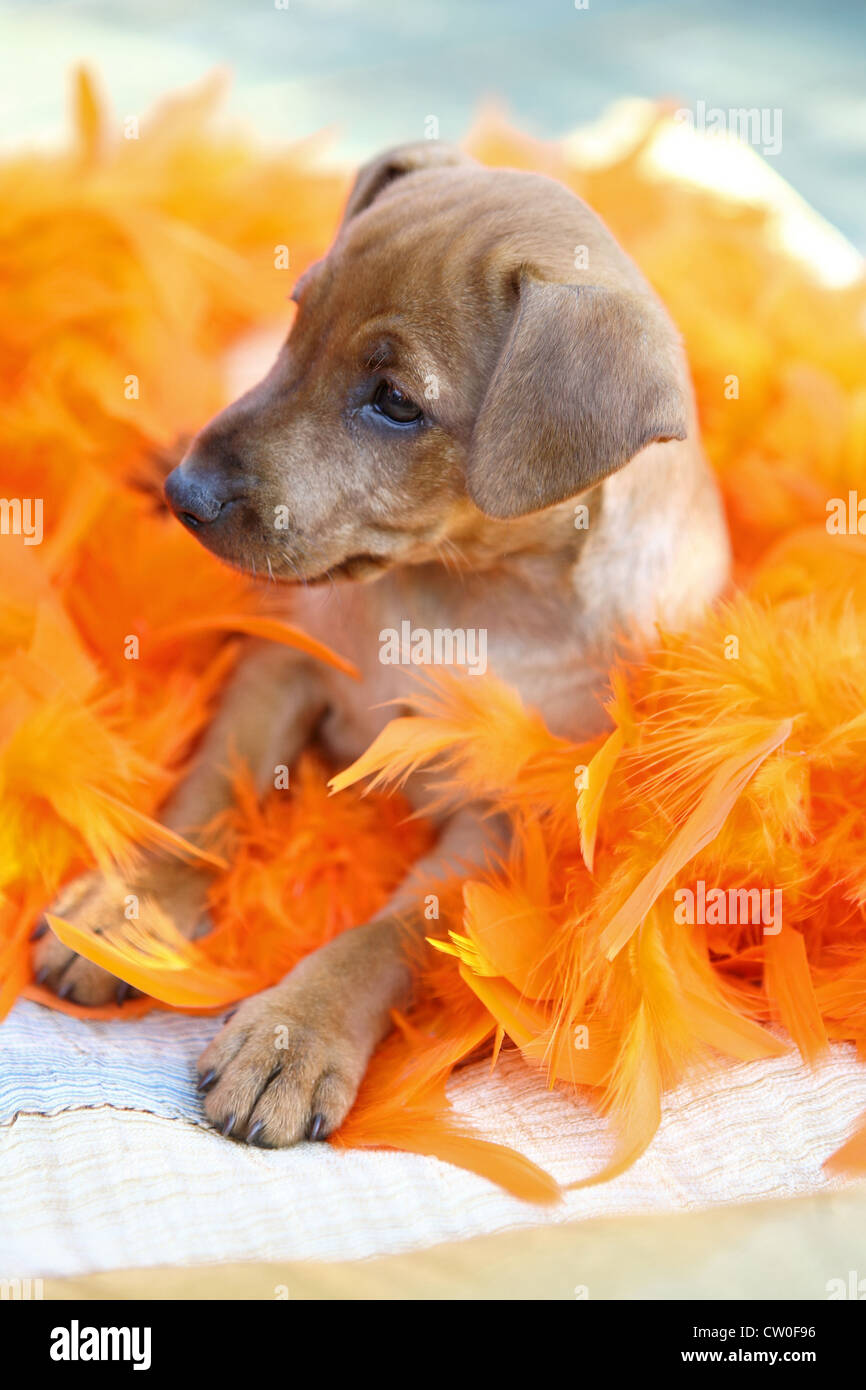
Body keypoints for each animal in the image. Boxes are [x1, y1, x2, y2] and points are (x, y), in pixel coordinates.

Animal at [33, 141, 728, 1145]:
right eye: (299, 316)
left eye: (395, 402)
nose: (185, 495)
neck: (458, 595)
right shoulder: (280, 666)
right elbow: (208, 794)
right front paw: (128, 909)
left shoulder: (504, 818)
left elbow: (391, 933)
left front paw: (294, 1034)